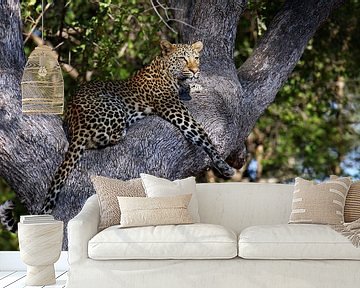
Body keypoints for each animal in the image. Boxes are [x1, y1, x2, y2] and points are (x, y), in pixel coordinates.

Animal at [0, 39, 233, 231]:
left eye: (196, 58)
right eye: (182, 58)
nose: (195, 71)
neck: (166, 71)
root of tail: (75, 122)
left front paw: (196, 84)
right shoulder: (174, 109)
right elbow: (201, 134)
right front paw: (223, 165)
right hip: (116, 108)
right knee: (104, 138)